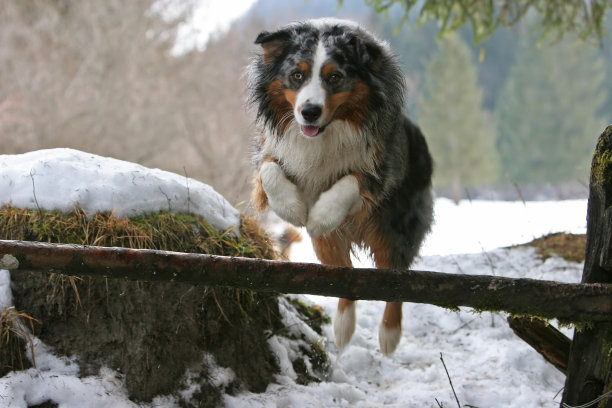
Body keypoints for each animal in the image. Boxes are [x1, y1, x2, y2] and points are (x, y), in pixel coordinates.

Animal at [246, 18, 432, 354]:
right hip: (326, 245)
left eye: (335, 77)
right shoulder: (270, 149)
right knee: (346, 277)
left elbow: (350, 181)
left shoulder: (382, 170)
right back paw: (343, 329)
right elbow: (269, 169)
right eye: (297, 75)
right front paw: (293, 208)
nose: (309, 112)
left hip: (394, 229)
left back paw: (389, 335)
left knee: (396, 278)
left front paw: (322, 214)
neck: (326, 132)